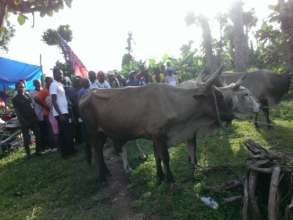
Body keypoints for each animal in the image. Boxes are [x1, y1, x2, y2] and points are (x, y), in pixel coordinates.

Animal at [78, 66, 258, 183]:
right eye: (218, 96)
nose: (258, 107)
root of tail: (85, 96)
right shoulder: (159, 135)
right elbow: (165, 157)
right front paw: (170, 180)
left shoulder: (160, 136)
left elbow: (159, 157)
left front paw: (160, 176)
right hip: (94, 132)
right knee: (97, 151)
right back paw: (102, 176)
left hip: (103, 133)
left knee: (100, 151)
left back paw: (107, 172)